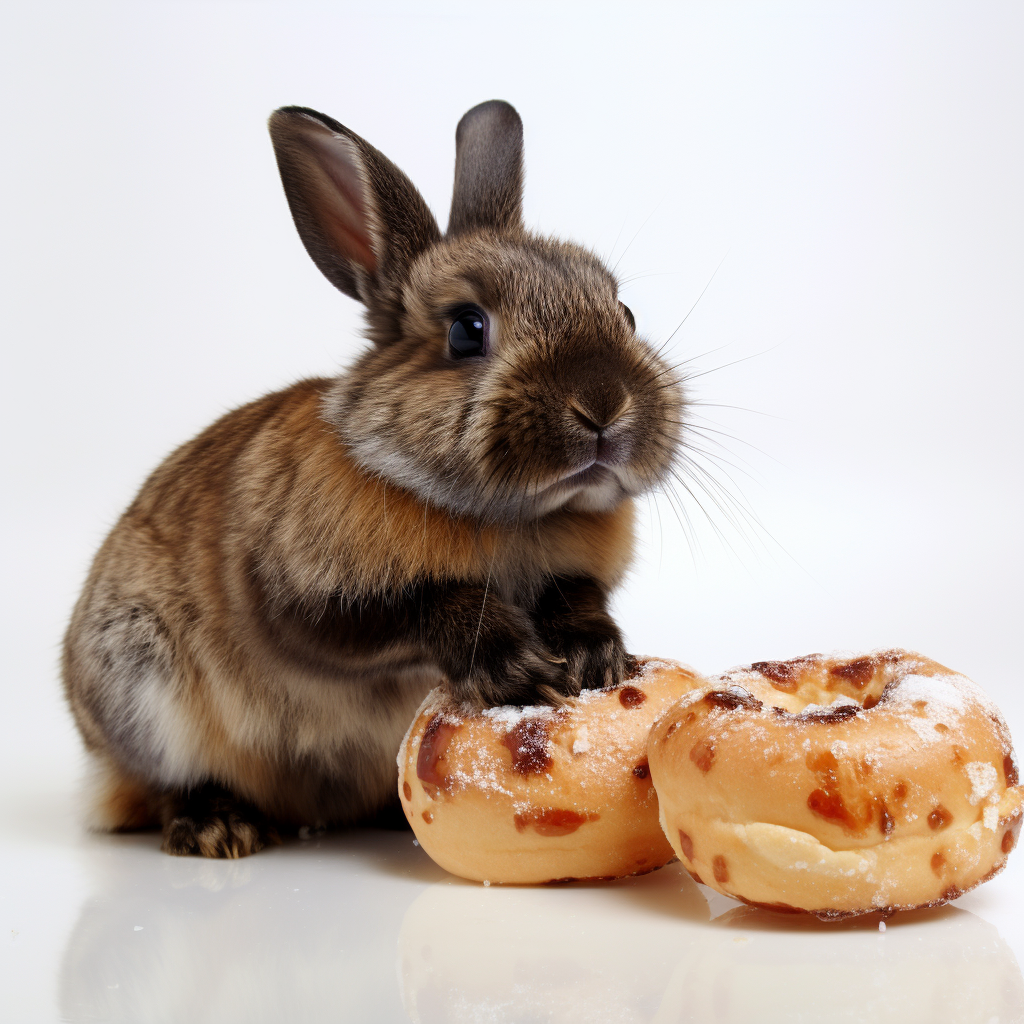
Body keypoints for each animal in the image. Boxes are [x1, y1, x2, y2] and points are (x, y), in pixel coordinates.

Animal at [59, 101, 679, 856]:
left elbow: (578, 598)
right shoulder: (305, 598)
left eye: (625, 314)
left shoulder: (576, 575)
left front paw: (597, 659)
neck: (508, 515)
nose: (603, 406)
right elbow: (423, 608)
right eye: (467, 329)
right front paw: (520, 670)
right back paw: (218, 825)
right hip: (141, 686)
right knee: (166, 783)